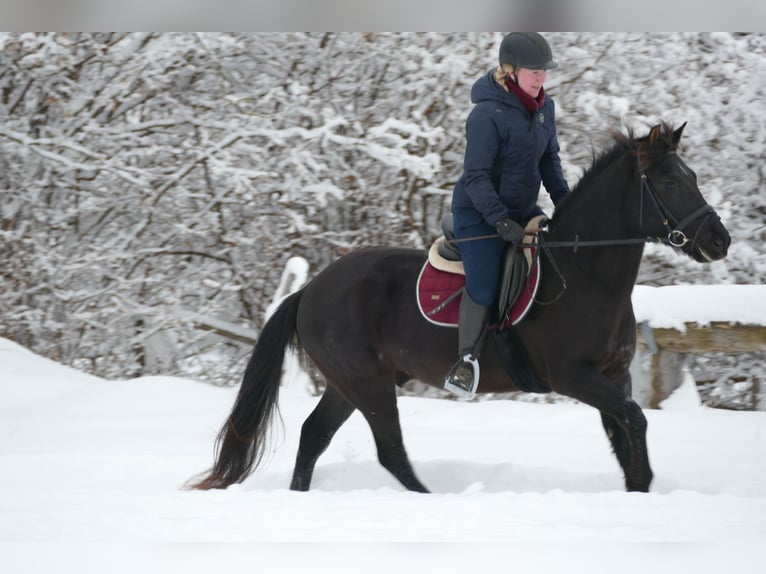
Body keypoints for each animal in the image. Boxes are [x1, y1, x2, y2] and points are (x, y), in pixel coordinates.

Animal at [190, 122, 732, 496]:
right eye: (669, 182)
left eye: (693, 176)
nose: (719, 240)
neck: (582, 274)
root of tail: (310, 290)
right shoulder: (573, 377)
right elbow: (635, 422)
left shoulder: (613, 377)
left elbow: (625, 436)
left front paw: (639, 490)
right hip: (368, 384)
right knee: (390, 452)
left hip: (348, 384)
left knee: (313, 437)